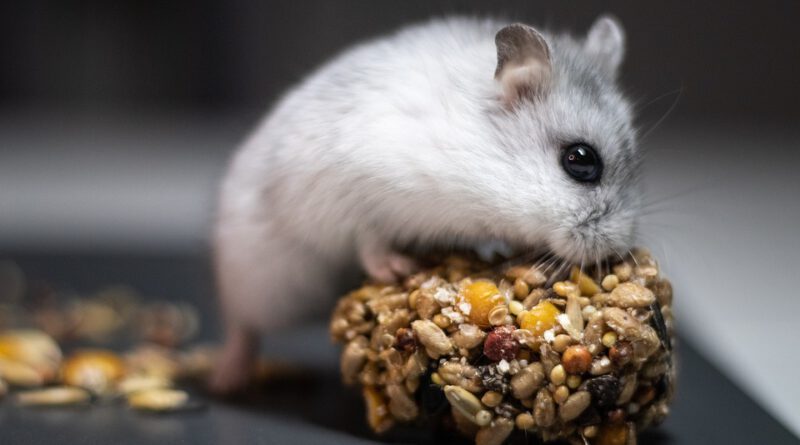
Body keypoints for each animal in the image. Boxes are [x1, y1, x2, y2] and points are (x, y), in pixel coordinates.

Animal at [210, 15, 640, 392]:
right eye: (580, 160)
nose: (617, 251)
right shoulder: (361, 194)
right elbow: (369, 241)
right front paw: (399, 268)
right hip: (260, 279)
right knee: (241, 326)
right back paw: (227, 379)